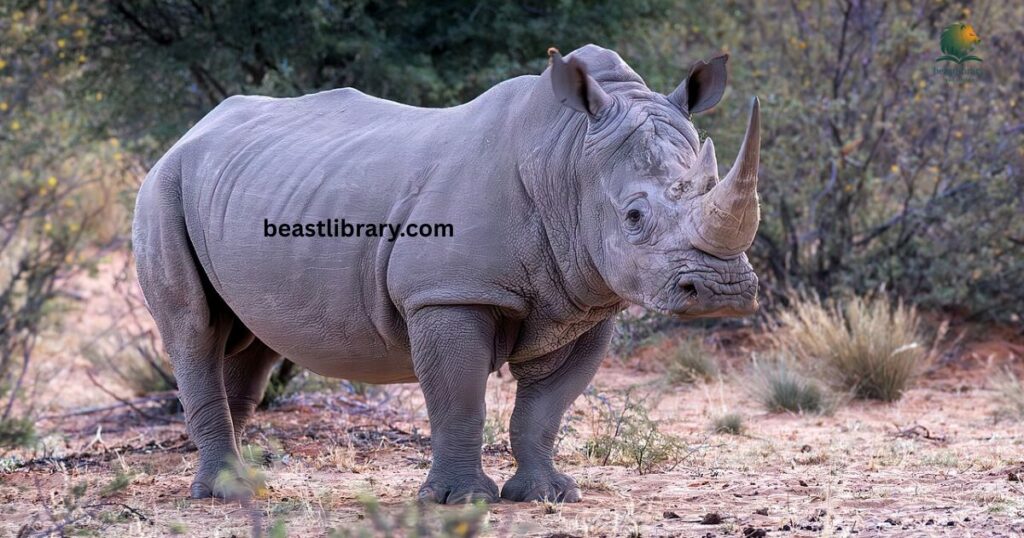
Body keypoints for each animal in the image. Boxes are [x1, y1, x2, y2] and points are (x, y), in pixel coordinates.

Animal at [133, 44, 761, 504]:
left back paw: (241, 486)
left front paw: (548, 496)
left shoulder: (587, 301)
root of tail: (188, 133)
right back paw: (218, 495)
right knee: (193, 329)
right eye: (633, 217)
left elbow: (545, 409)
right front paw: (462, 501)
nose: (723, 291)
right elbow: (460, 398)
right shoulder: (448, 293)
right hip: (162, 186)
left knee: (251, 340)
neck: (566, 160)